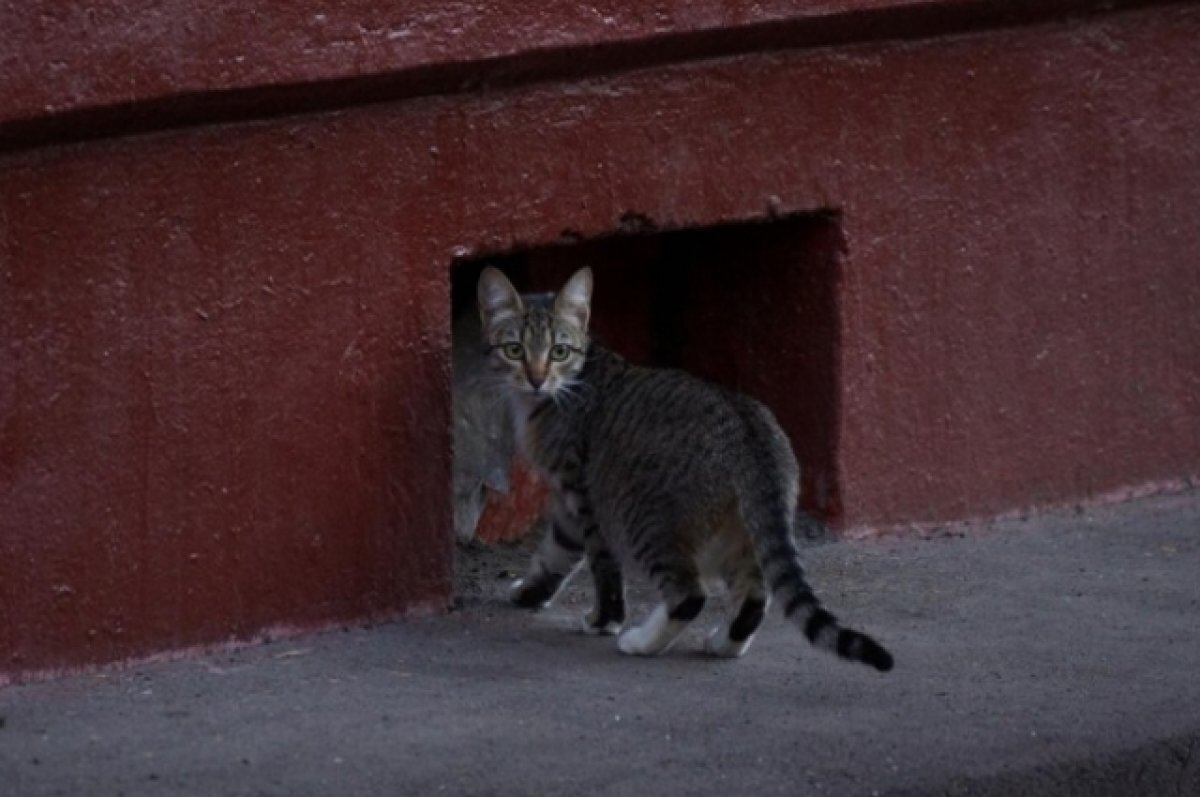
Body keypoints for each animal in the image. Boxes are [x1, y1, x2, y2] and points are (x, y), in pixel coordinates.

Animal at [475, 267, 892, 672]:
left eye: (559, 351)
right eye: (515, 350)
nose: (536, 378)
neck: (567, 386)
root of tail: (748, 432)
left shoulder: (581, 494)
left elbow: (600, 566)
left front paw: (603, 620)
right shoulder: (567, 506)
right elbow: (554, 552)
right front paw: (530, 593)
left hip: (647, 522)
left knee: (690, 595)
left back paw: (642, 642)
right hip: (742, 534)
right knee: (755, 594)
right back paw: (725, 643)